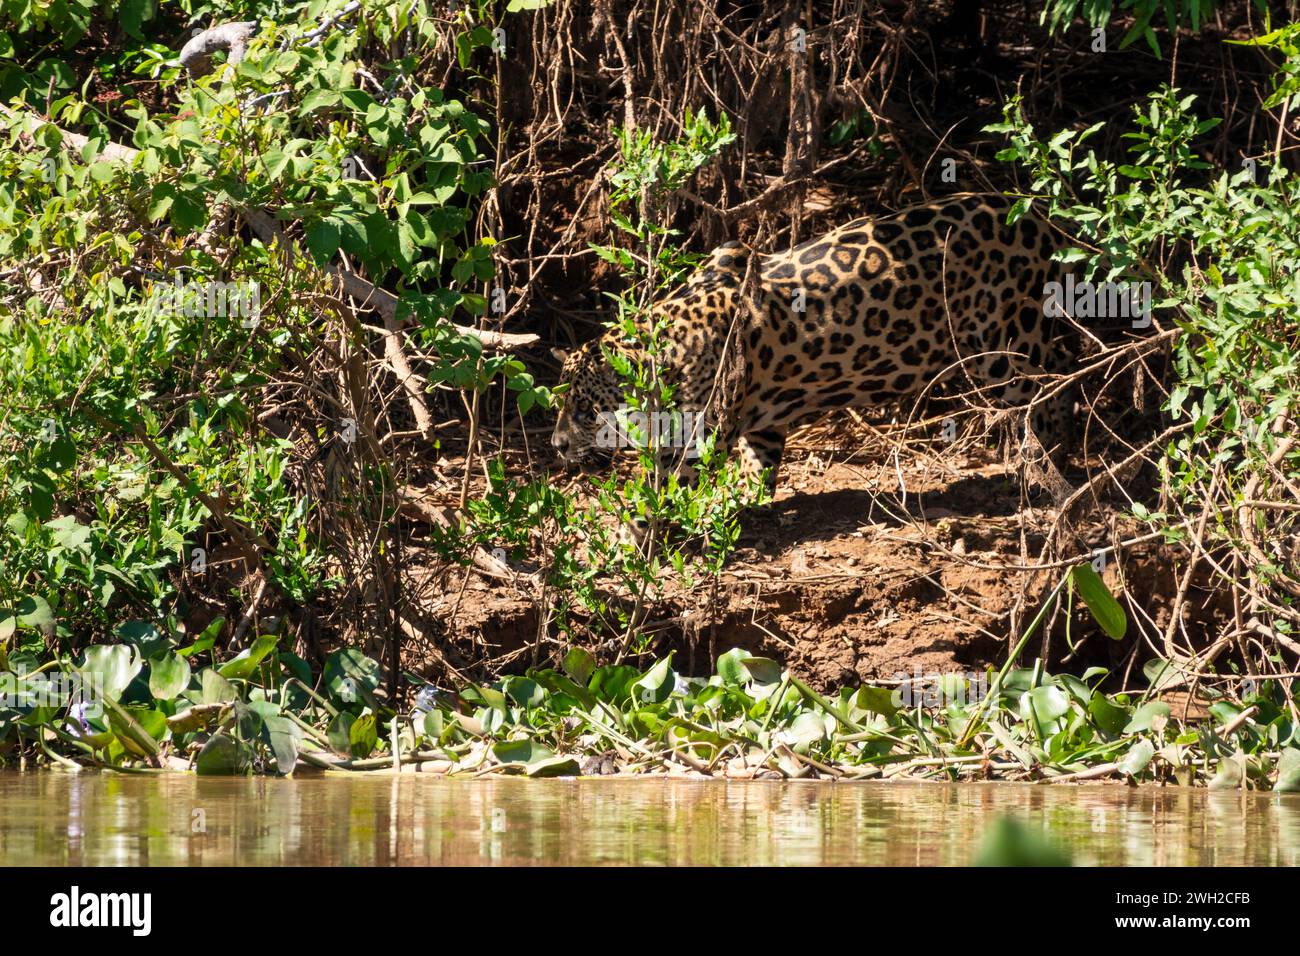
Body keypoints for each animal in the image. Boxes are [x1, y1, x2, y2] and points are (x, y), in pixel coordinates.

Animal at [551, 193, 1075, 497]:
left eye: (584, 410)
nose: (556, 445)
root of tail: (1034, 216)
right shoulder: (757, 416)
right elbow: (757, 464)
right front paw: (741, 500)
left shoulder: (695, 433)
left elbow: (661, 490)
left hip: (1005, 346)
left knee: (1050, 390)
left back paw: (1044, 464)